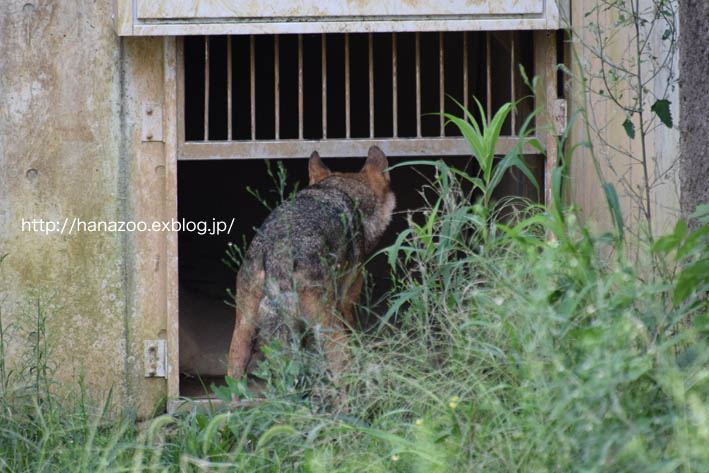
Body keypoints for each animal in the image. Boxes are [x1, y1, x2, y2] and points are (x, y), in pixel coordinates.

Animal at [227, 147, 392, 384]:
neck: (340, 191)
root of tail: (279, 256)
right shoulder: (347, 299)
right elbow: (353, 331)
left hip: (244, 330)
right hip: (327, 325)